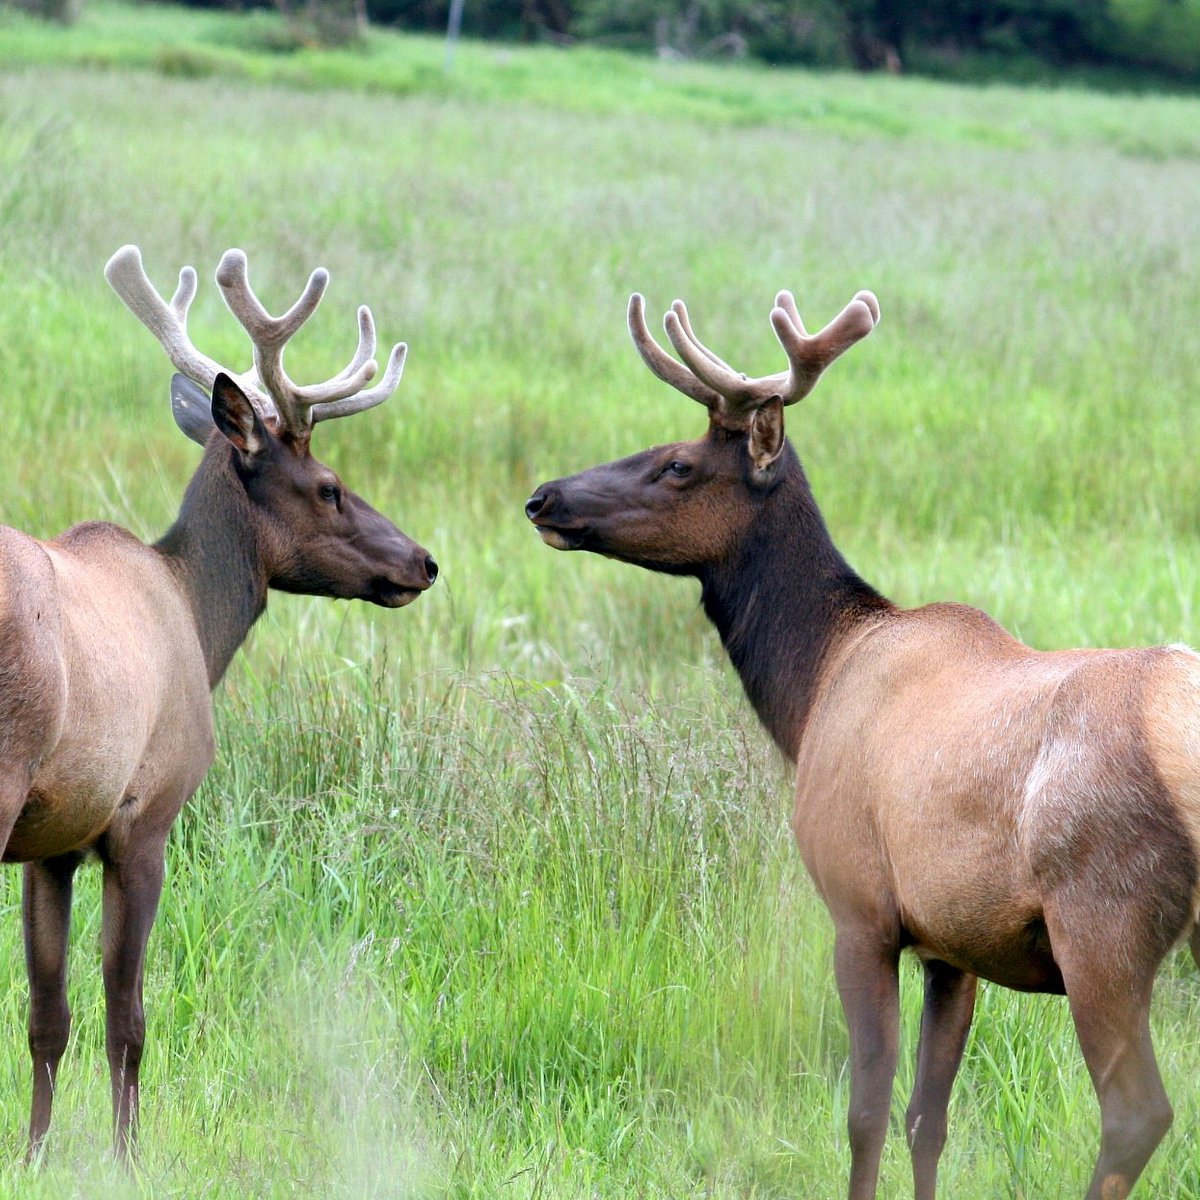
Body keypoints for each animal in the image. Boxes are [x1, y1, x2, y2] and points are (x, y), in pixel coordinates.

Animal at [0, 246, 441, 1161]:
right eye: (329, 485)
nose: (422, 561)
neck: (200, 626)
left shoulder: (51, 844)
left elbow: (47, 1018)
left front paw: (34, 1154)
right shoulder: (145, 816)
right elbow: (128, 1020)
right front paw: (127, 1158)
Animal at [525, 288, 1200, 1200]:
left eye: (677, 464)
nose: (544, 498)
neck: (812, 690)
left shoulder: (859, 909)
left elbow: (865, 1112)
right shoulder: (954, 944)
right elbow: (927, 1119)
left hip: (1103, 920)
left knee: (1137, 1113)